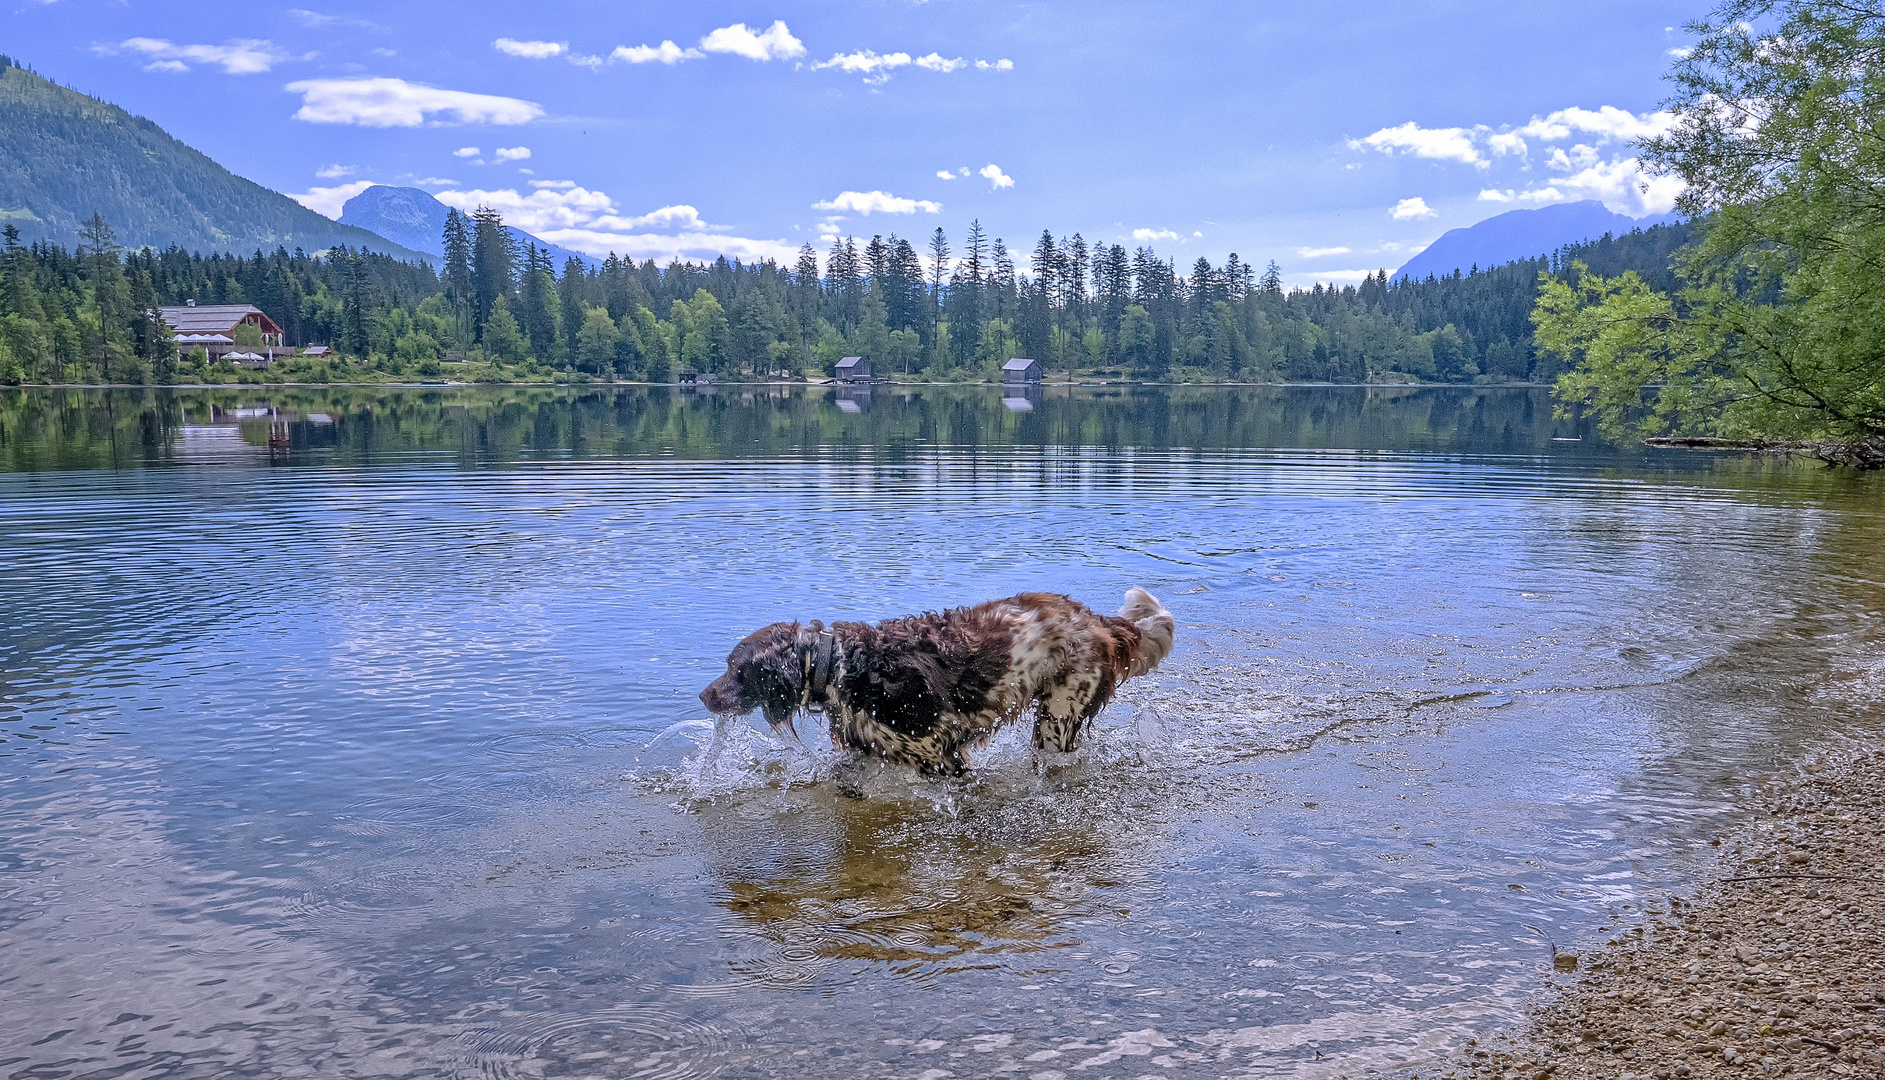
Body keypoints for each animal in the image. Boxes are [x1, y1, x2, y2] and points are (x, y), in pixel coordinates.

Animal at [701, 588, 1168, 776]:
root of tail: (1099, 621)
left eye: (737, 669)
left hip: (1058, 719)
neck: (841, 666)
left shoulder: (939, 757)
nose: (703, 695)